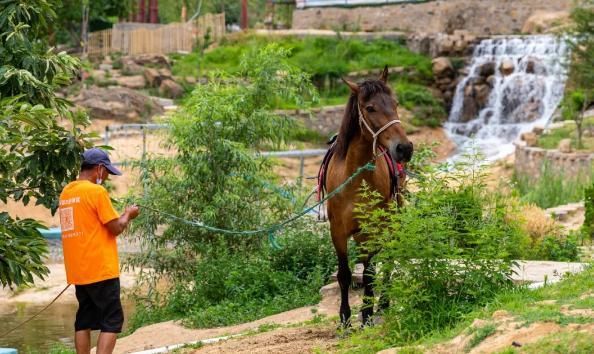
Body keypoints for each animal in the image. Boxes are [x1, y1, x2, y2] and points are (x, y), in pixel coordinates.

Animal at [320, 68, 412, 328]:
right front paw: (345, 318)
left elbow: (370, 273)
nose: (404, 148)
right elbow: (344, 274)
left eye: (395, 104)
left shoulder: (372, 229)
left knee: (388, 258)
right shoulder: (338, 231)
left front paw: (367, 315)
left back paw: (383, 303)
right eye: (370, 108)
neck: (355, 177)